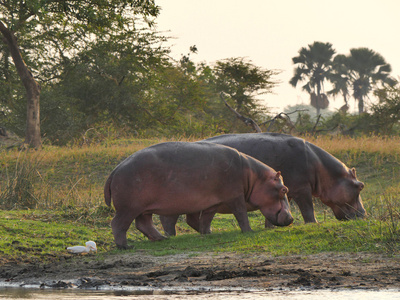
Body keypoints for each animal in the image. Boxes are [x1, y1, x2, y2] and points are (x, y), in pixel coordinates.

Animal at [104, 141, 294, 248]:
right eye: (284, 190)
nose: (291, 219)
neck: (254, 177)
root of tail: (115, 170)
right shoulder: (235, 196)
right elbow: (241, 214)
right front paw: (249, 231)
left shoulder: (213, 202)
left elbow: (206, 219)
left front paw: (208, 233)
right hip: (129, 208)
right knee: (118, 224)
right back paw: (125, 246)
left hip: (143, 209)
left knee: (143, 224)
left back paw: (161, 239)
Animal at [160, 132, 366, 236]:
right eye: (360, 185)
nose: (364, 215)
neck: (323, 169)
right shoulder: (302, 189)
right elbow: (308, 209)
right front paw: (313, 224)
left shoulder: (281, 191)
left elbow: (275, 211)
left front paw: (271, 227)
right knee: (169, 218)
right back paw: (171, 236)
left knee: (191, 218)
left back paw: (207, 232)